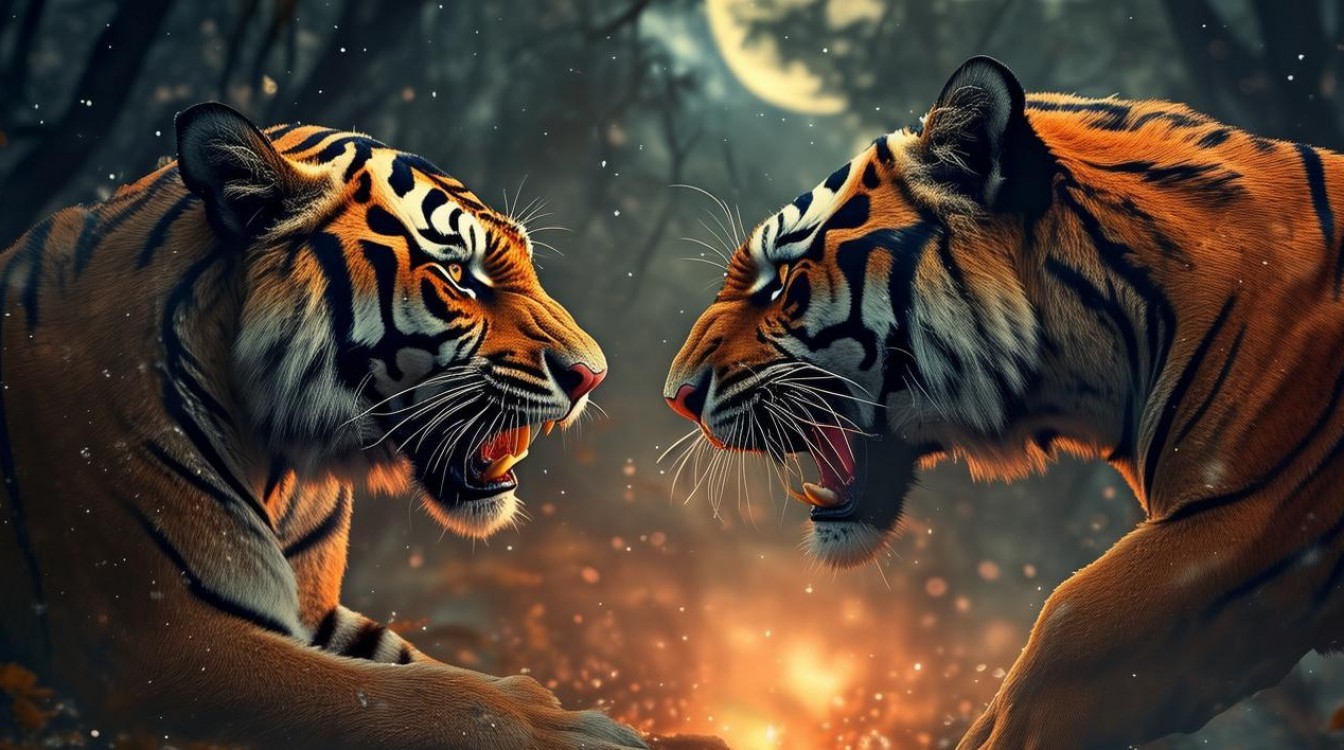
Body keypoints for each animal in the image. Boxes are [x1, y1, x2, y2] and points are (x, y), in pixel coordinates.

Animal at [0, 102, 648, 750]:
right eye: (458, 273)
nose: (593, 375)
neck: (279, 461)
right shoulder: (168, 640)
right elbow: (410, 695)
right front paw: (566, 725)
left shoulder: (317, 612)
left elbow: (410, 660)